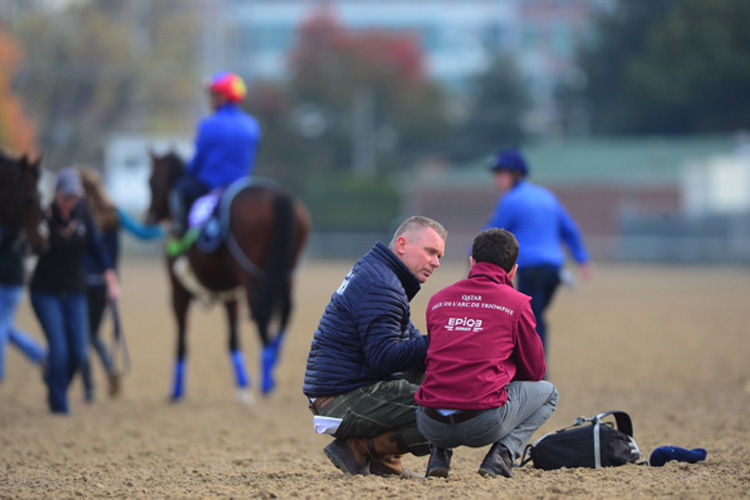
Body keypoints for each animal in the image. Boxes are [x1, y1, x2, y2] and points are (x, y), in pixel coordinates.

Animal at [147, 152, 312, 402]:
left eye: (151, 181)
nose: (149, 217)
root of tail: (278, 195)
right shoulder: (230, 293)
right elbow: (233, 339)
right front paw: (243, 386)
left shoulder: (178, 292)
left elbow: (182, 339)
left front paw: (176, 390)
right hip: (285, 275)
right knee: (285, 311)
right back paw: (273, 363)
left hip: (252, 277)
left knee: (262, 315)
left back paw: (267, 379)